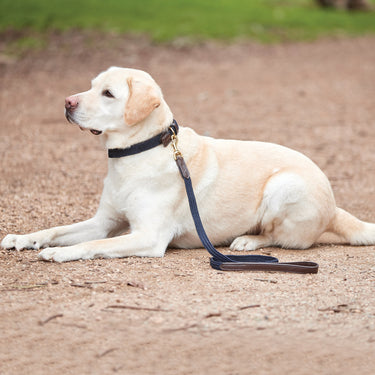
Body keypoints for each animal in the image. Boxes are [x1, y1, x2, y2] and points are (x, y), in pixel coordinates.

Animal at [0, 67, 375, 262]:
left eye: (108, 94)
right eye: (91, 86)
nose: (66, 102)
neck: (136, 152)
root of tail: (335, 207)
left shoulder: (148, 236)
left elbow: (93, 245)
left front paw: (59, 253)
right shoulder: (104, 222)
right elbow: (56, 230)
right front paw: (24, 238)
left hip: (283, 186)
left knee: (281, 239)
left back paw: (247, 242)